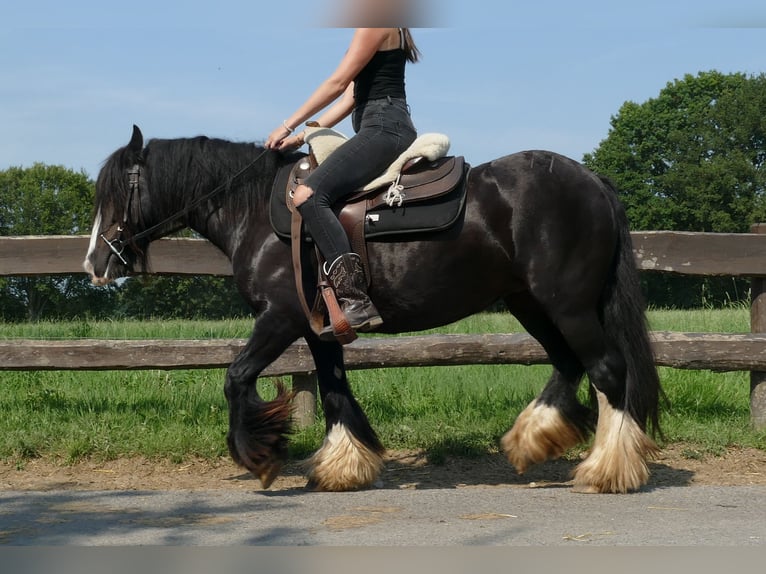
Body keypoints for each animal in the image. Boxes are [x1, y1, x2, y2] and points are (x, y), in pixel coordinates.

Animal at [82, 126, 660, 496]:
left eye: (115, 195)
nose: (94, 264)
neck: (258, 213)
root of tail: (592, 181)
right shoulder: (318, 330)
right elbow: (335, 391)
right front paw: (343, 467)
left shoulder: (280, 319)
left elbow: (236, 376)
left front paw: (261, 458)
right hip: (531, 304)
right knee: (569, 364)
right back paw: (533, 441)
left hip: (568, 306)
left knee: (607, 370)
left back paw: (607, 470)